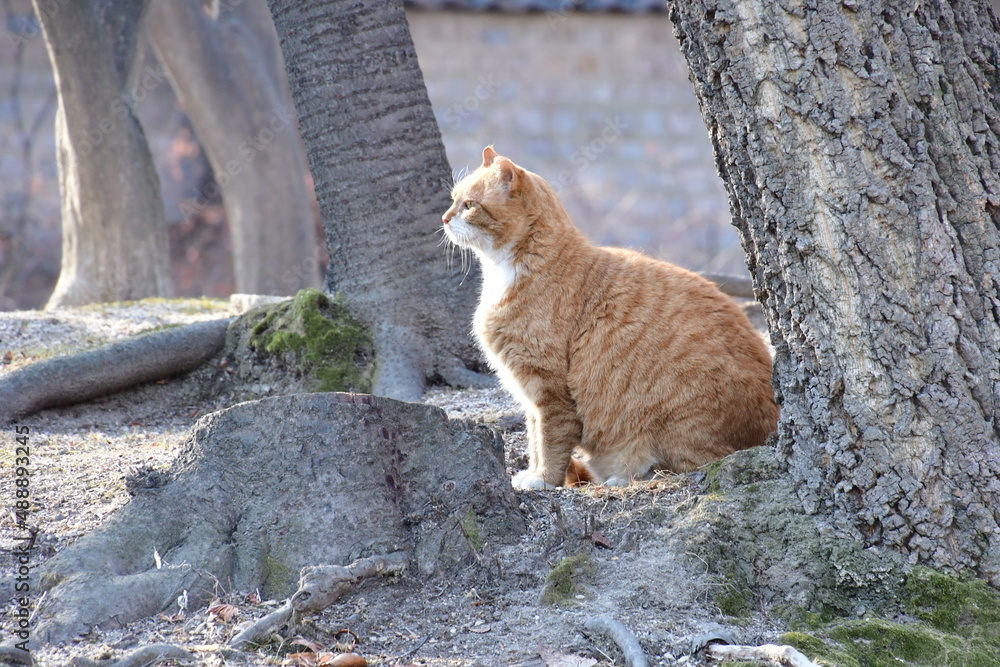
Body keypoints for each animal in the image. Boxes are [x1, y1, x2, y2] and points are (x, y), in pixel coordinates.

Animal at [442, 147, 776, 490]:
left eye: (469, 205)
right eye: (453, 199)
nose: (444, 218)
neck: (505, 272)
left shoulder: (548, 387)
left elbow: (550, 440)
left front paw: (545, 479)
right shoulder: (530, 394)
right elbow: (534, 437)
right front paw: (534, 472)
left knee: (691, 463)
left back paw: (627, 475)